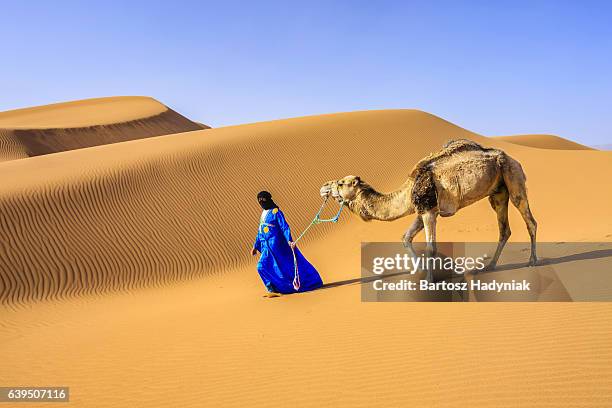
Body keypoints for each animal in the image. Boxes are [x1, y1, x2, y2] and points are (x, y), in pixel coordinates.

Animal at [320, 140, 536, 270]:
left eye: (341, 183)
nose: (323, 187)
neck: (408, 191)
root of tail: (513, 159)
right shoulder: (421, 210)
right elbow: (406, 238)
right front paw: (419, 272)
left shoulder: (429, 211)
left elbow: (431, 247)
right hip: (498, 192)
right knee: (504, 228)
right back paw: (490, 266)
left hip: (513, 175)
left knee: (528, 218)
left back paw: (532, 261)